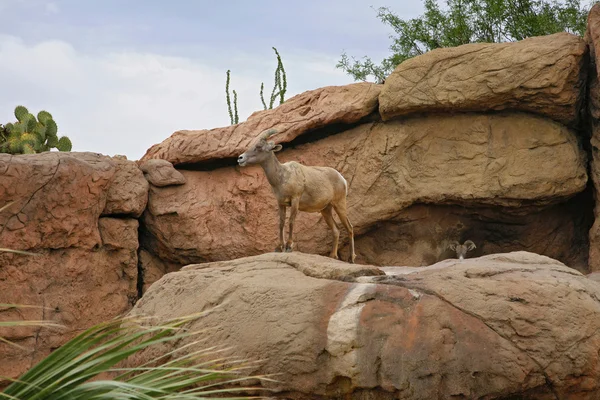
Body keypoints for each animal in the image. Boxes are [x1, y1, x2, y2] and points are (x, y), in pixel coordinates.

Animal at [236, 130, 356, 264]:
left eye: (259, 147)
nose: (240, 158)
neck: (282, 177)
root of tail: (342, 179)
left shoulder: (295, 200)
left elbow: (291, 222)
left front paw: (289, 247)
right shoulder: (281, 203)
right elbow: (281, 223)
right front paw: (279, 248)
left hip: (339, 204)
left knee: (349, 228)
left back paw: (351, 259)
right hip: (326, 210)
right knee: (336, 230)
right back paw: (332, 256)